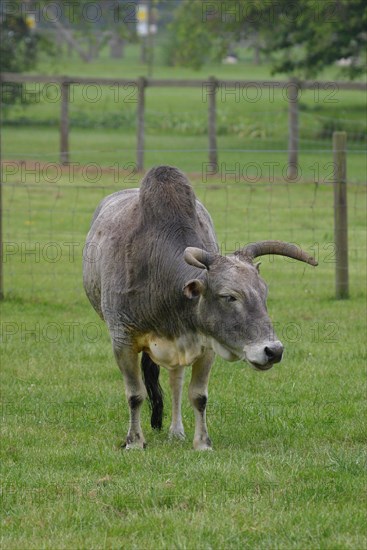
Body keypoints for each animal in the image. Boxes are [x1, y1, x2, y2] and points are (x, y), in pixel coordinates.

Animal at [82, 168, 316, 452]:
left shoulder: (206, 345)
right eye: (229, 296)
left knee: (176, 382)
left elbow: (198, 395)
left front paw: (202, 443)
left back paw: (176, 431)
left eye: (264, 292)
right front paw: (135, 442)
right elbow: (135, 395)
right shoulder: (122, 340)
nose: (273, 351)